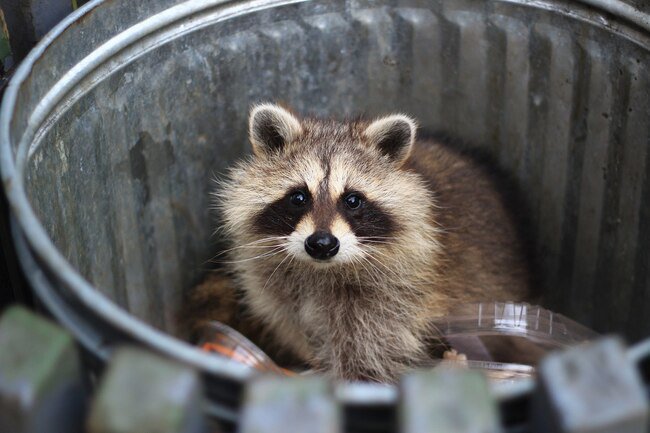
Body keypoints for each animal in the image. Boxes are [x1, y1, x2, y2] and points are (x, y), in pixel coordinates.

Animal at [190, 103, 531, 382]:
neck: (321, 270)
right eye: (298, 197)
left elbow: (368, 357)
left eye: (352, 200)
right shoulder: (277, 292)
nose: (322, 244)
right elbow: (294, 325)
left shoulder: (394, 300)